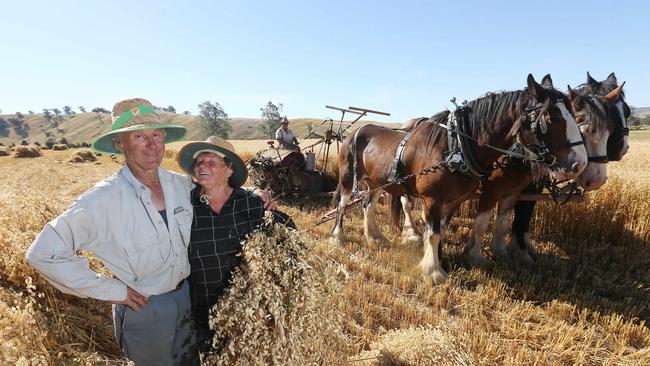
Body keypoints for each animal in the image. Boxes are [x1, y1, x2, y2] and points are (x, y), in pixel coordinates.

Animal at [330, 74, 588, 284]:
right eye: (551, 118)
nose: (580, 163)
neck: (456, 146)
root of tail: (356, 132)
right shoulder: (433, 199)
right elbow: (434, 232)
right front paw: (433, 271)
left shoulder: (455, 200)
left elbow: (441, 231)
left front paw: (439, 259)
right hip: (348, 177)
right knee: (343, 204)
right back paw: (337, 237)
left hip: (376, 182)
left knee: (367, 205)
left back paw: (374, 237)